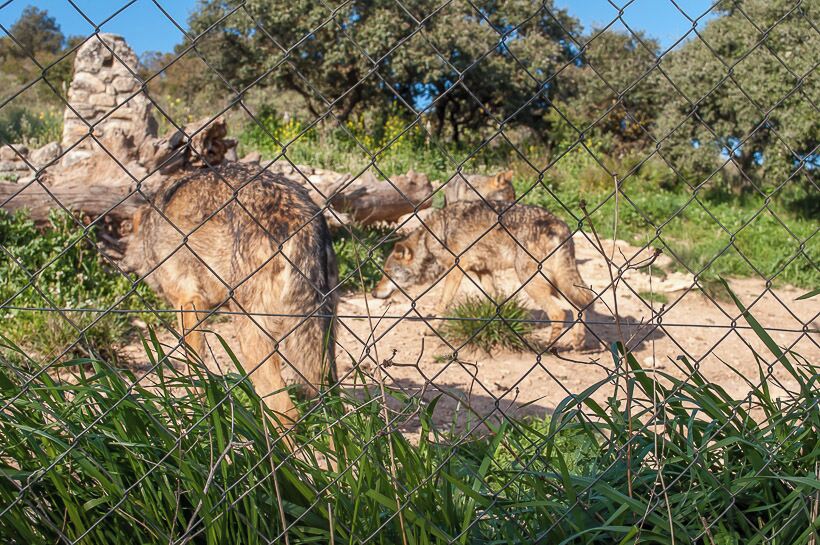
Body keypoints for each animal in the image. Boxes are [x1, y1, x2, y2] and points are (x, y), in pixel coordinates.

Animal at [122, 162, 338, 428]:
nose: (122, 265)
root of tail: (302, 219)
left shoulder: (189, 303)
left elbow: (194, 371)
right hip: (323, 342)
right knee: (332, 407)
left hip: (252, 337)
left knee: (285, 411)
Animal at [372, 201, 593, 349]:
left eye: (387, 273)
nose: (373, 293)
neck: (429, 239)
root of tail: (559, 225)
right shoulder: (483, 271)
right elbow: (495, 300)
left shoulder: (456, 269)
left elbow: (442, 303)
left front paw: (430, 329)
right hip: (557, 283)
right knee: (580, 306)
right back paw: (579, 343)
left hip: (532, 281)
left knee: (559, 313)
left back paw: (547, 347)